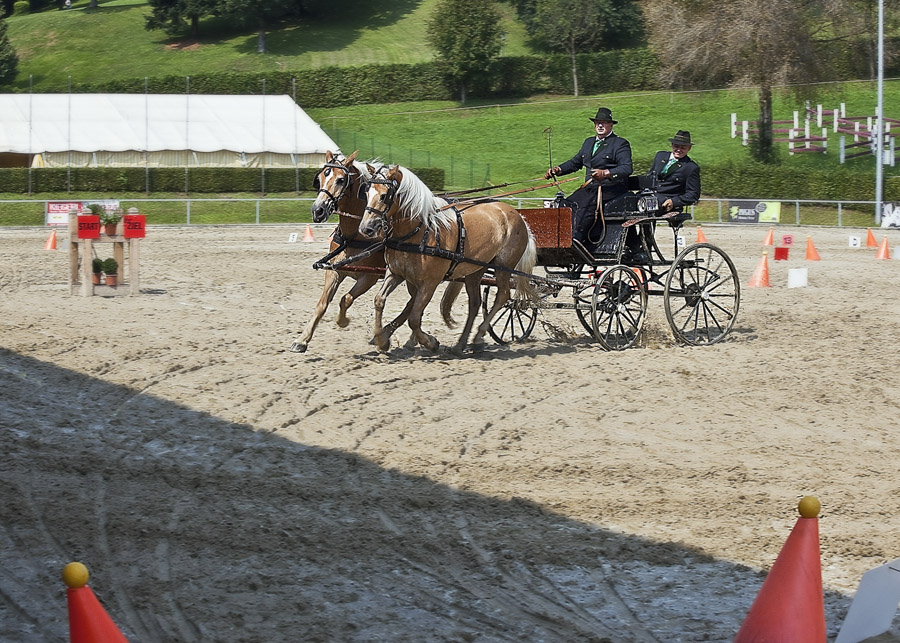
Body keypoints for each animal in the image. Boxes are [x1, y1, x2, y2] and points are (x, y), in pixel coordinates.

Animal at [358, 165, 536, 358]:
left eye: (384, 195)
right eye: (366, 192)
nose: (366, 228)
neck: (420, 230)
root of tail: (518, 216)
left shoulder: (430, 282)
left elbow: (414, 317)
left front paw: (430, 343)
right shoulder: (396, 273)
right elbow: (380, 300)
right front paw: (382, 340)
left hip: (503, 267)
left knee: (503, 295)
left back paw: (478, 337)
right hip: (476, 270)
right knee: (475, 303)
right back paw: (461, 344)